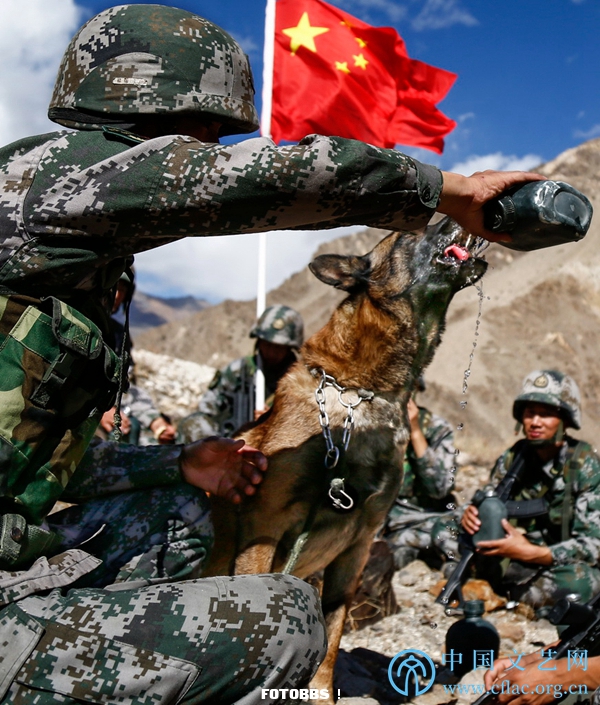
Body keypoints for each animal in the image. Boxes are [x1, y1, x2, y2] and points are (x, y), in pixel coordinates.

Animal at [205, 216, 488, 701]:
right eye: (412, 231)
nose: (458, 217)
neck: (362, 393)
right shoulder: (264, 527)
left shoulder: (355, 549)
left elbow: (333, 641)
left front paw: (321, 695)